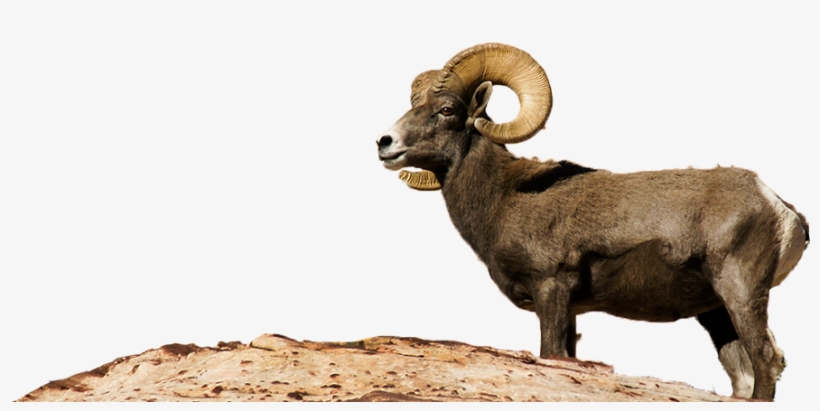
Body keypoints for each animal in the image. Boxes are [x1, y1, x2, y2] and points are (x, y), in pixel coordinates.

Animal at [375, 43, 809, 401]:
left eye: (447, 110)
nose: (384, 143)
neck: (504, 196)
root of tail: (779, 207)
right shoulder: (570, 309)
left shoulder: (551, 288)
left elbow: (550, 353)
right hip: (715, 312)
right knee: (744, 377)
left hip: (739, 291)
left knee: (767, 360)